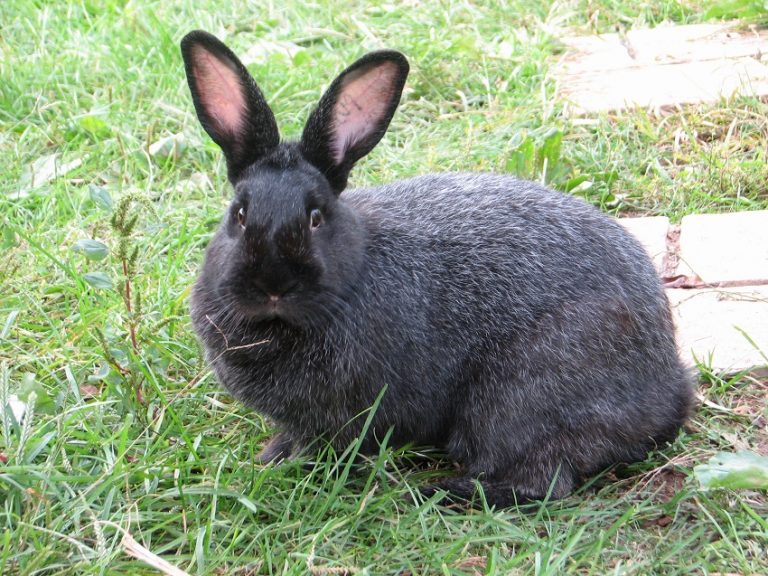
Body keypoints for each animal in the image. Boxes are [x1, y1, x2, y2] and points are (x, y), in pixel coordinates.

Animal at [181, 29, 694, 507]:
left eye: (316, 217)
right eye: (239, 214)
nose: (273, 284)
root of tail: (667, 393)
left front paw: (283, 459)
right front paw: (274, 456)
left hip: (517, 398)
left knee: (539, 479)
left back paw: (439, 493)